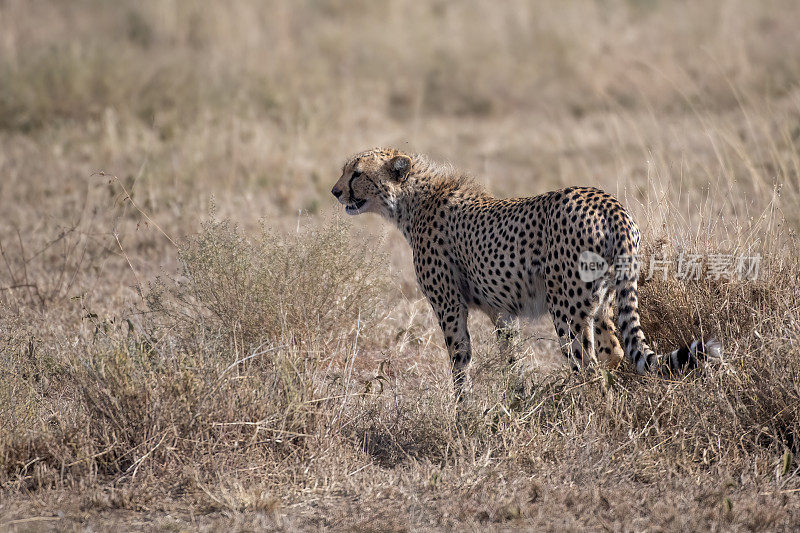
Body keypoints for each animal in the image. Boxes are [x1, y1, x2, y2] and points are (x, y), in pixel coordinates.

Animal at [332, 148, 720, 396]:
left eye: (357, 173)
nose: (335, 191)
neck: (412, 201)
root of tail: (608, 202)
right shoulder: (502, 312)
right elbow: (511, 360)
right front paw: (516, 401)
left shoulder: (449, 307)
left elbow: (460, 362)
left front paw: (462, 416)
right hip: (604, 301)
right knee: (615, 352)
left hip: (566, 310)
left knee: (588, 367)